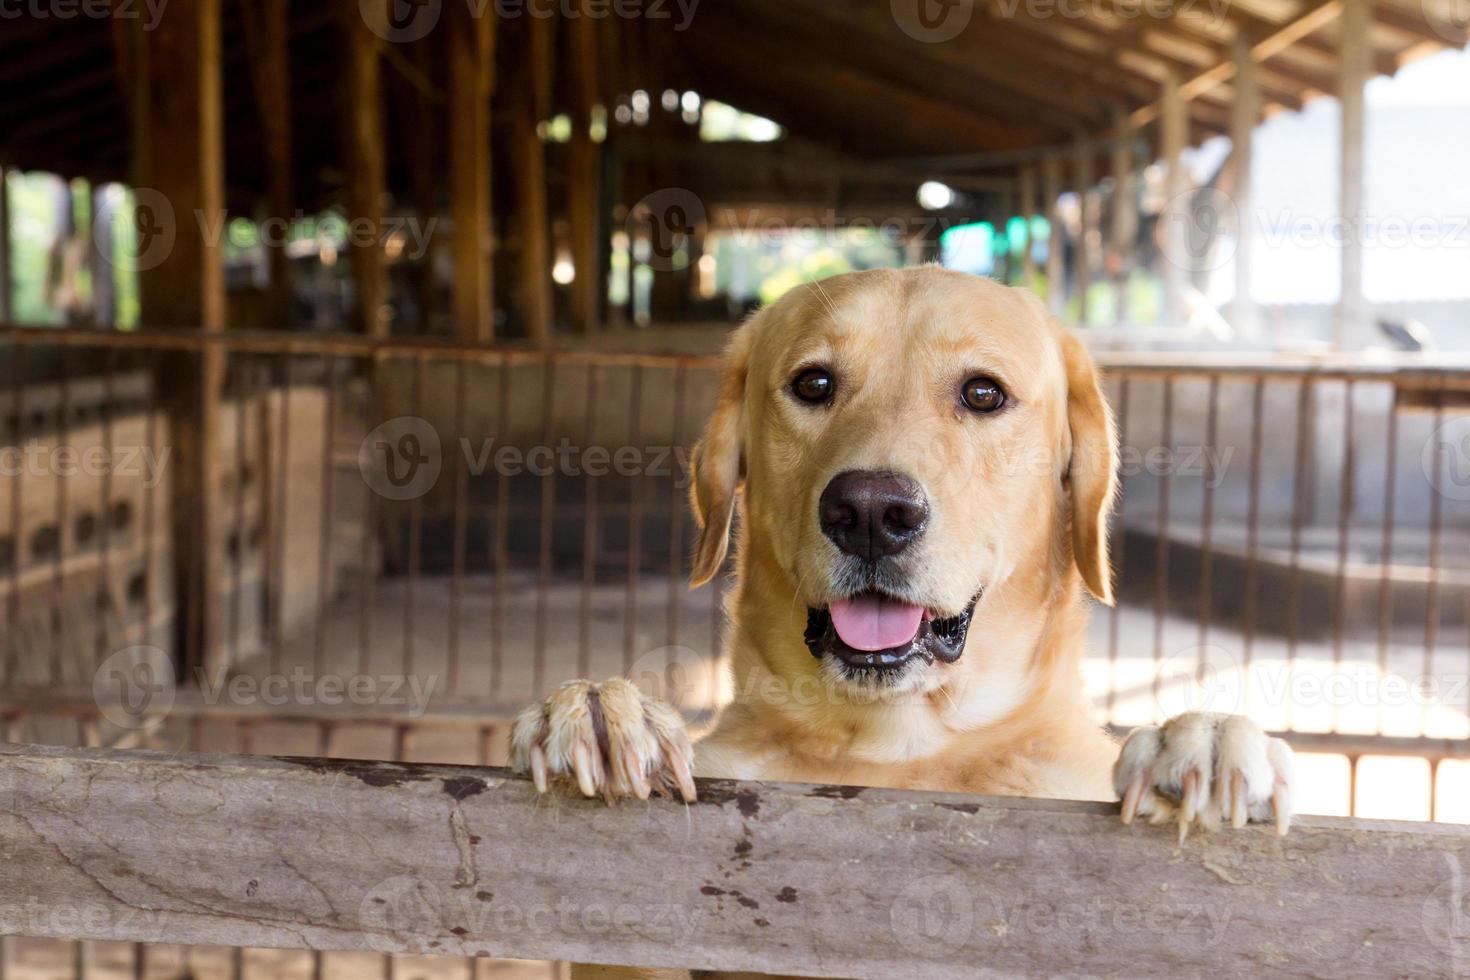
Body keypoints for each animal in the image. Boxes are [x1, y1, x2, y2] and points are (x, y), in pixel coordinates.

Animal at [511, 270, 1293, 980]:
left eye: (983, 393)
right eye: (813, 384)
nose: (869, 512)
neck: (898, 749)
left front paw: (1206, 741)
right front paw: (605, 711)